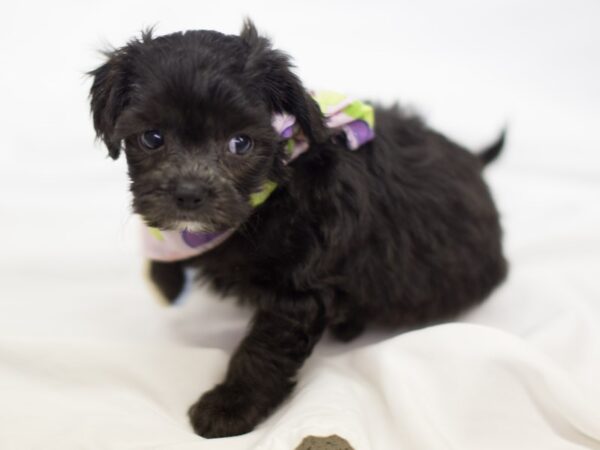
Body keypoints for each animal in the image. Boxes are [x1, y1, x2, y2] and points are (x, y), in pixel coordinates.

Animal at [88, 20, 506, 436]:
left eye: (240, 143)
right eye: (152, 138)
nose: (189, 194)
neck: (272, 189)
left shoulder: (297, 292)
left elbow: (262, 351)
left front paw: (230, 406)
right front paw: (166, 279)